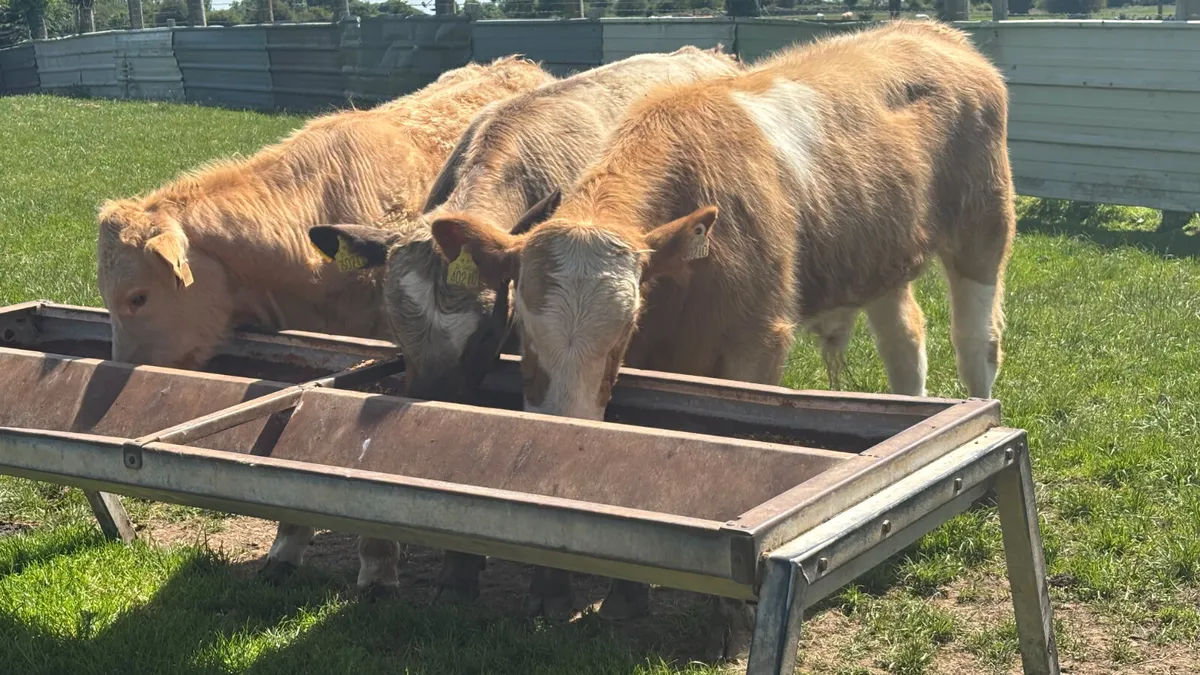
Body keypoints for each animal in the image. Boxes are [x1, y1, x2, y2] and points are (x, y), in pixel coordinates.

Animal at [429, 21, 1015, 657]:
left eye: (621, 331)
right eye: (522, 333)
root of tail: (927, 31)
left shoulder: (755, 342)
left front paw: (734, 619)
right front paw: (625, 595)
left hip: (984, 226)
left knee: (976, 340)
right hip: (883, 256)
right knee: (905, 340)